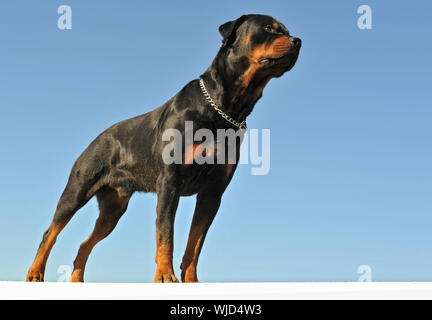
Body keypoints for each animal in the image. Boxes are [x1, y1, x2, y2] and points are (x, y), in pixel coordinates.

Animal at [26, 13, 300, 282]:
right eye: (268, 28)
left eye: (286, 30)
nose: (297, 41)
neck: (225, 107)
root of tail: (96, 139)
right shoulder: (170, 182)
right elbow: (166, 234)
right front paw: (166, 275)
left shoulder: (212, 193)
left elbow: (195, 244)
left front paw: (191, 281)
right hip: (77, 190)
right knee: (50, 232)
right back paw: (35, 273)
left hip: (114, 208)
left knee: (85, 243)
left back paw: (77, 280)